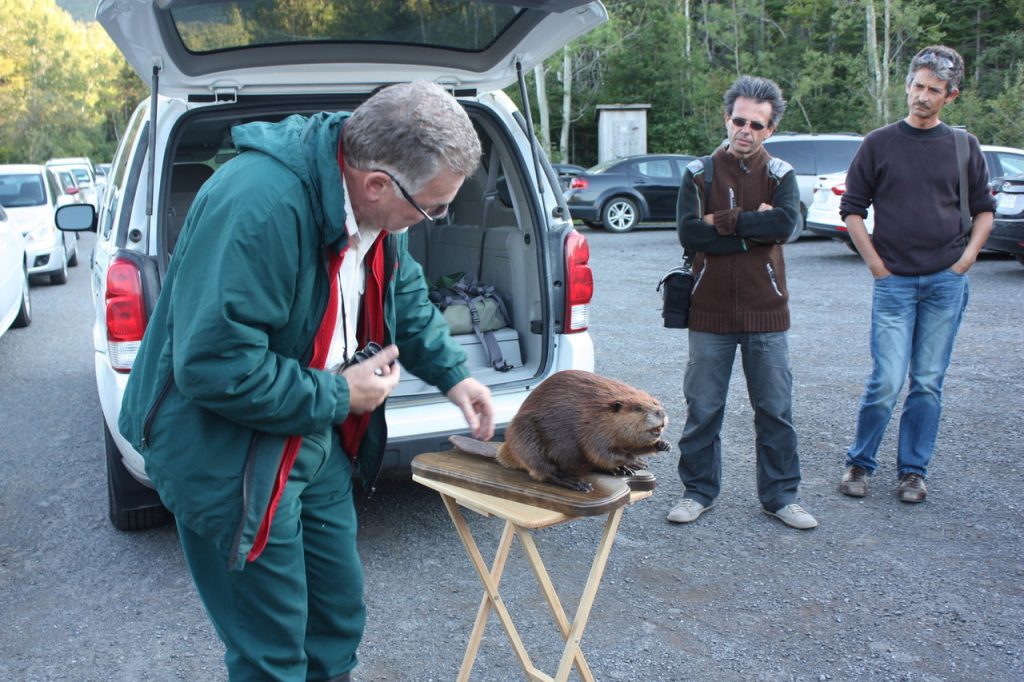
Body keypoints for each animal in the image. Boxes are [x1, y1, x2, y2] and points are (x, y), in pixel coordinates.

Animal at [452, 368, 667, 491]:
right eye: (638, 408)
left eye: (655, 402)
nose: (662, 413)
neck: (599, 411)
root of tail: (503, 453)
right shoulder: (593, 428)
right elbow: (600, 451)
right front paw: (637, 461)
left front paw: (662, 445)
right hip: (526, 437)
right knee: (544, 471)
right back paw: (576, 483)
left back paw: (619, 470)